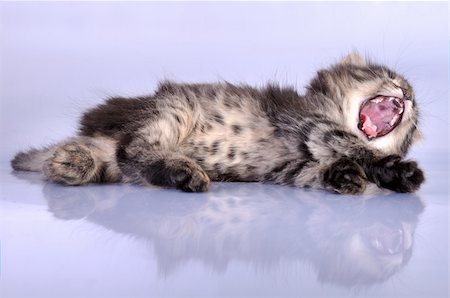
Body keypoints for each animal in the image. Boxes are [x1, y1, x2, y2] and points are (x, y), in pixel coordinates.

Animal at [11, 52, 426, 194]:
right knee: (133, 151)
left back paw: (69, 162)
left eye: (414, 106)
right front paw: (398, 171)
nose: (406, 94)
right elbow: (354, 145)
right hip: (171, 110)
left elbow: (316, 172)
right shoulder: (308, 121)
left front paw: (344, 176)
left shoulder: (288, 167)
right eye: (389, 76)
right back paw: (182, 172)